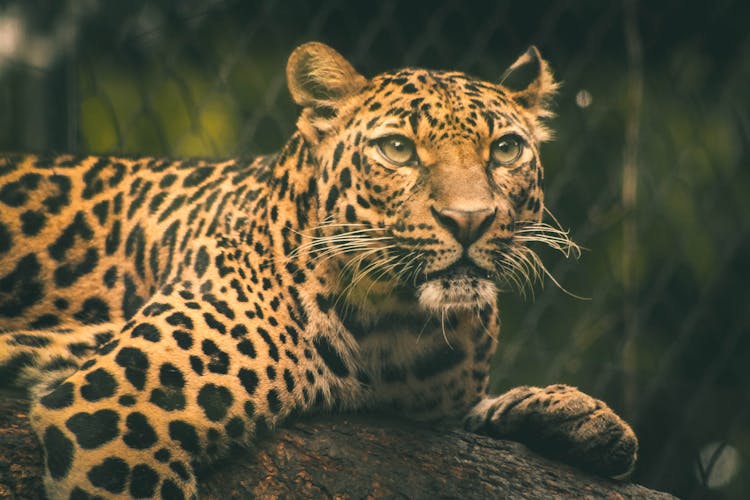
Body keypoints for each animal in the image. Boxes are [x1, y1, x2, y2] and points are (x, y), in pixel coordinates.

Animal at [0, 44, 636, 500]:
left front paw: (578, 416)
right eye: (398, 149)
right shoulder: (114, 413)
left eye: (505, 149)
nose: (469, 220)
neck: (398, 330)